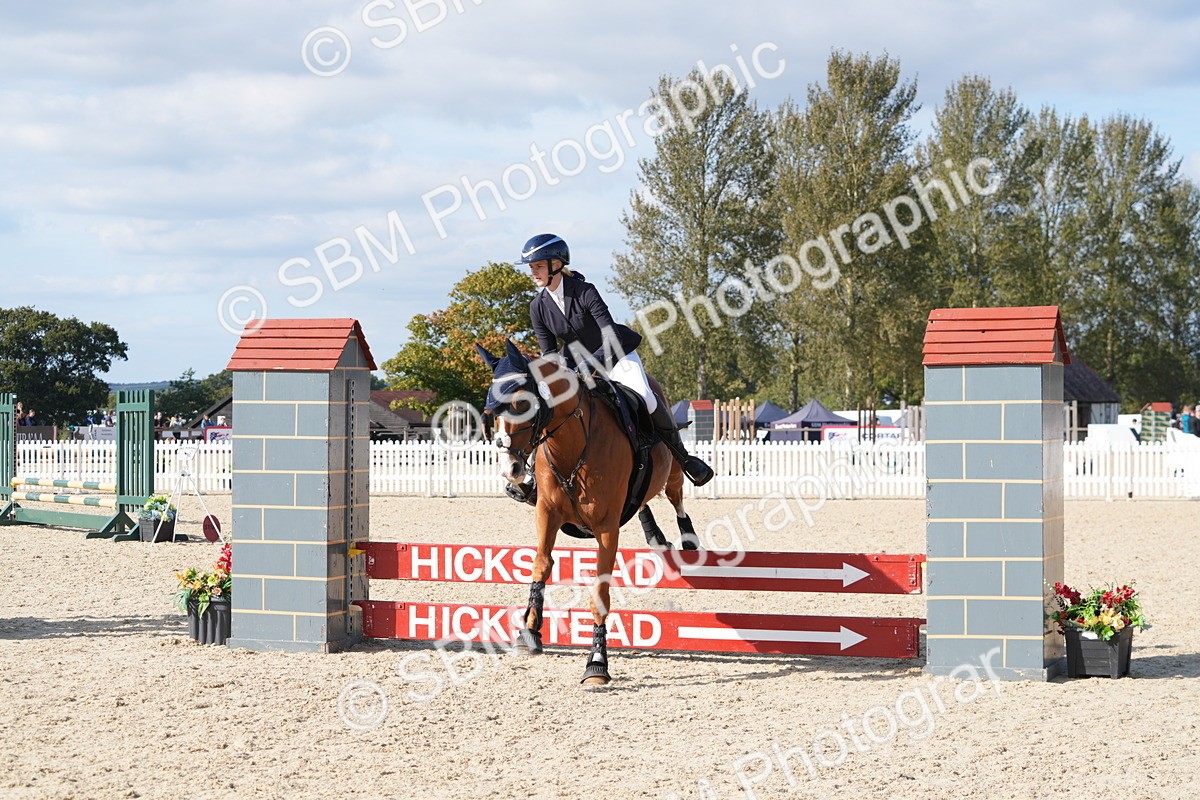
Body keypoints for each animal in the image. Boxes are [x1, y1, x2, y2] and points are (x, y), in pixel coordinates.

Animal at [476, 339, 697, 685]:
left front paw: (597, 662)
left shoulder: (607, 527)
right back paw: (656, 537)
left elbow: (600, 593)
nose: (509, 470)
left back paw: (688, 538)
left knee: (676, 497)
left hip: (672, 471)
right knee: (643, 502)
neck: (572, 445)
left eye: (521, 403)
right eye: (490, 412)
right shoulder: (547, 512)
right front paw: (530, 630)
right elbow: (541, 564)